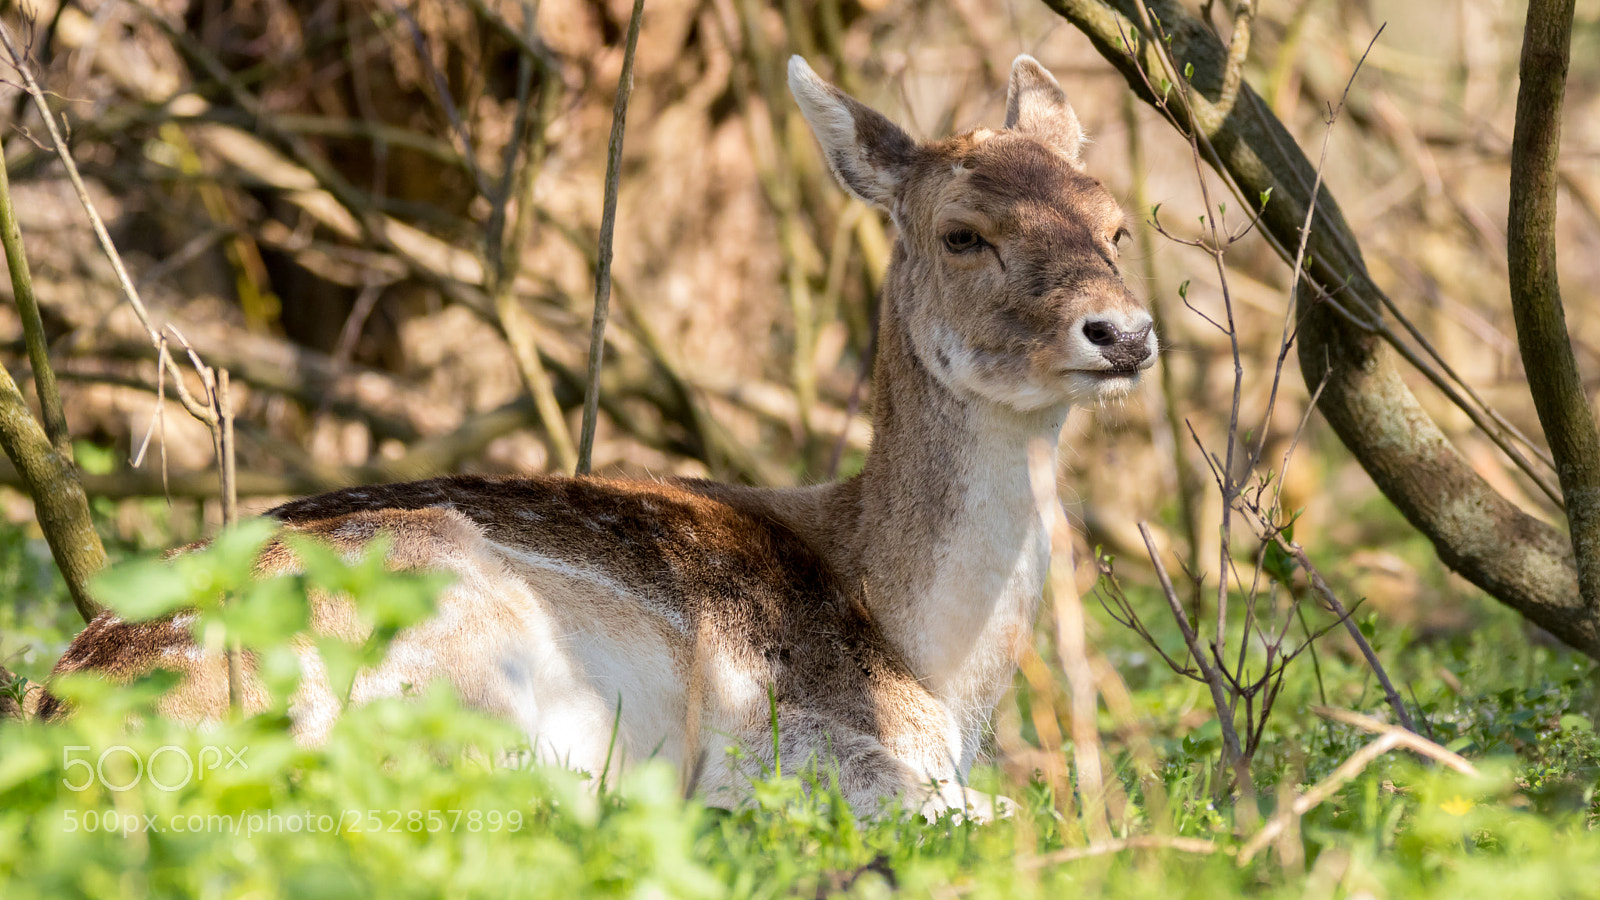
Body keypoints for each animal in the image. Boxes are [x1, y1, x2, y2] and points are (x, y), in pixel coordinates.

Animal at [41, 55, 1156, 821]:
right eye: (962, 232)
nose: (1124, 332)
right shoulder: (800, 736)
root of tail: (72, 726)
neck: (935, 671)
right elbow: (1005, 808)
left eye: (1117, 224)